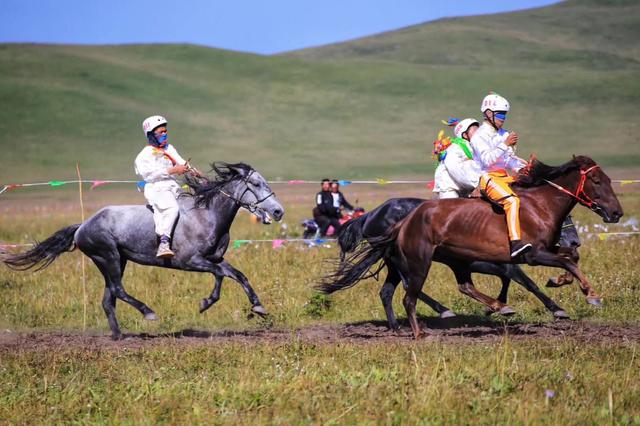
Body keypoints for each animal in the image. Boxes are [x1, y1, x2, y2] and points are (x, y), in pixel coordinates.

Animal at [2, 162, 282, 340]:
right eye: (256, 183)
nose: (278, 211)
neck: (207, 214)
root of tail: (82, 225)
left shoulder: (215, 259)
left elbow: (237, 275)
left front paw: (258, 306)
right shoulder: (191, 261)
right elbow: (220, 276)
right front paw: (205, 303)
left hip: (116, 261)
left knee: (109, 298)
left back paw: (118, 336)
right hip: (109, 257)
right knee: (118, 290)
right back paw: (148, 313)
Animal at [322, 156, 624, 340]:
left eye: (609, 180)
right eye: (597, 181)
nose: (616, 213)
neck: (538, 207)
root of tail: (396, 219)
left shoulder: (517, 260)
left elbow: (568, 260)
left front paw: (557, 283)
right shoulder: (529, 255)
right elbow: (554, 270)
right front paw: (587, 297)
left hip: (442, 261)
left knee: (430, 288)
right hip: (418, 262)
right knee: (410, 294)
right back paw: (427, 324)